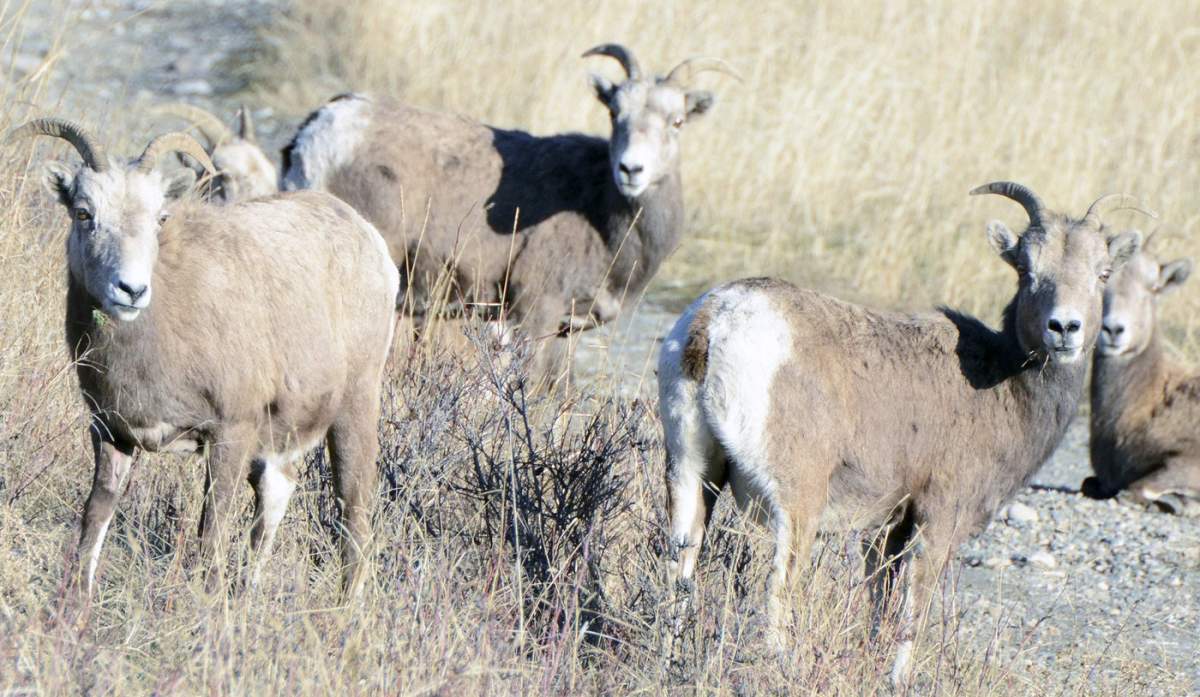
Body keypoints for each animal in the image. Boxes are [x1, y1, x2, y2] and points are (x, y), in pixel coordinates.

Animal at [10, 117, 399, 596]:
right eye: (84, 213)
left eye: (159, 217)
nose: (131, 290)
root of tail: (368, 239)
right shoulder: (111, 433)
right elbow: (94, 520)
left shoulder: (230, 433)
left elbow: (210, 533)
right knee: (275, 497)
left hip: (353, 411)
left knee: (353, 510)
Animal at [279, 44, 733, 380]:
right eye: (614, 113)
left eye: (677, 121)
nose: (631, 170)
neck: (602, 219)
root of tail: (320, 135)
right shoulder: (535, 311)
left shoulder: (563, 328)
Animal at [656, 182, 1142, 684]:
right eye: (1026, 270)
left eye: (1103, 273)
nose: (1064, 328)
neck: (1002, 385)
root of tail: (715, 321)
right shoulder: (938, 519)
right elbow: (914, 609)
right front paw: (897, 678)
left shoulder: (885, 528)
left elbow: (880, 604)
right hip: (797, 504)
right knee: (778, 589)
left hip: (691, 474)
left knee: (679, 570)